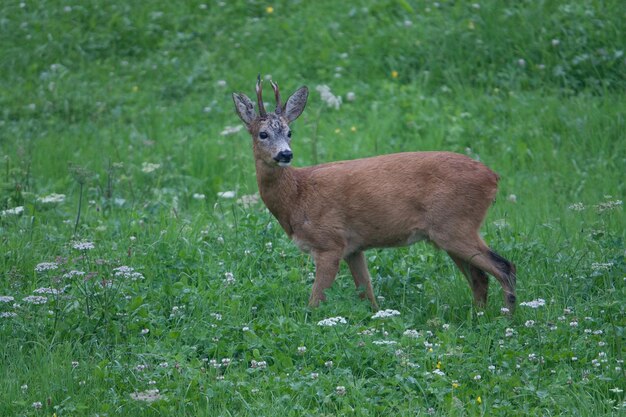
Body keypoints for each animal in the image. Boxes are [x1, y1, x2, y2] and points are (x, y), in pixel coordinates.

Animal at [232, 77, 516, 312]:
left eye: (290, 132)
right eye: (263, 133)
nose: (285, 154)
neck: (297, 197)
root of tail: (493, 177)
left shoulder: (329, 242)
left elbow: (315, 301)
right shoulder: (353, 248)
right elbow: (367, 295)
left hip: (456, 225)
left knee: (505, 267)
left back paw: (507, 319)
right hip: (449, 232)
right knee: (480, 277)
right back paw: (479, 316)